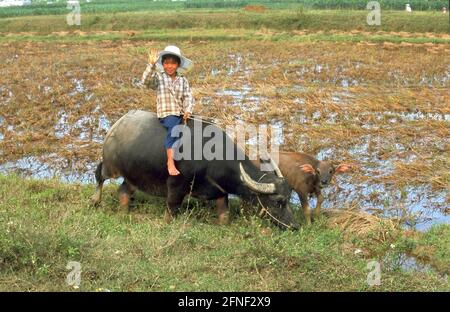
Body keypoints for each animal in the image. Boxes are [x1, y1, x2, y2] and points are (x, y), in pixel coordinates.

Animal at [91, 109, 298, 229]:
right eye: (278, 201)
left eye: (289, 199)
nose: (294, 226)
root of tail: (117, 125)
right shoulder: (175, 186)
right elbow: (171, 209)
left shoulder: (219, 191)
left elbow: (224, 214)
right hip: (111, 167)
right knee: (99, 174)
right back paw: (95, 200)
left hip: (133, 176)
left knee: (124, 190)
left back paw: (124, 211)